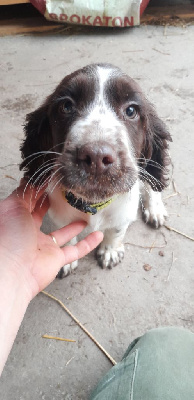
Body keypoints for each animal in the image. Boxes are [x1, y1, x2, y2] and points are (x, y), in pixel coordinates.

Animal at [19, 64, 171, 278]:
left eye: (131, 110)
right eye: (66, 106)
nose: (97, 157)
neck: (93, 205)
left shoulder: (123, 215)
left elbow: (116, 231)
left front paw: (110, 251)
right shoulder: (58, 217)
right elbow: (67, 235)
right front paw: (66, 259)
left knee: (152, 184)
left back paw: (155, 210)